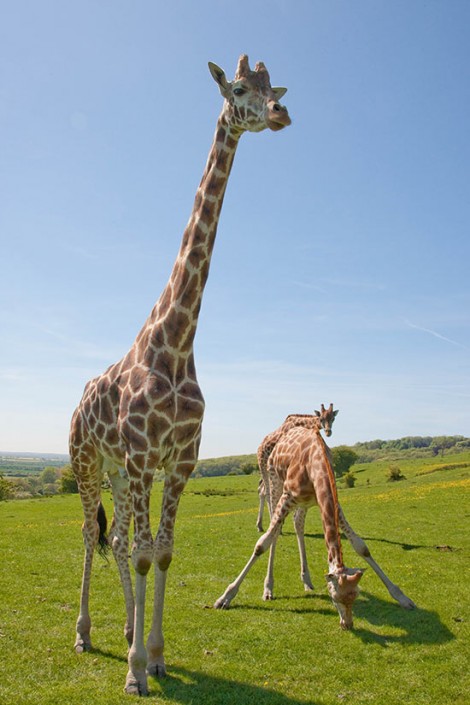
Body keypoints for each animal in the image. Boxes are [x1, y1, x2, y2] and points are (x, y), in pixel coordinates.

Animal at [69, 55, 291, 696]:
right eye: (239, 89)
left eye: (273, 87)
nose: (279, 113)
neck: (176, 343)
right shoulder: (147, 459)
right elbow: (146, 554)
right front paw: (136, 674)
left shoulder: (178, 463)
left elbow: (161, 553)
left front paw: (156, 655)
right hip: (89, 465)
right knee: (91, 537)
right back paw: (85, 632)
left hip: (119, 473)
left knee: (118, 539)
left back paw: (124, 630)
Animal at [214, 425, 415, 629]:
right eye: (334, 597)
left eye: (355, 595)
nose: (347, 624)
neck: (314, 465)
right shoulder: (288, 496)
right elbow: (262, 544)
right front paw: (225, 597)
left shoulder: (331, 500)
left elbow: (361, 546)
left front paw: (402, 598)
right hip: (275, 482)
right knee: (275, 530)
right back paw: (268, 588)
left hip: (304, 503)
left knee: (298, 524)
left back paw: (307, 580)